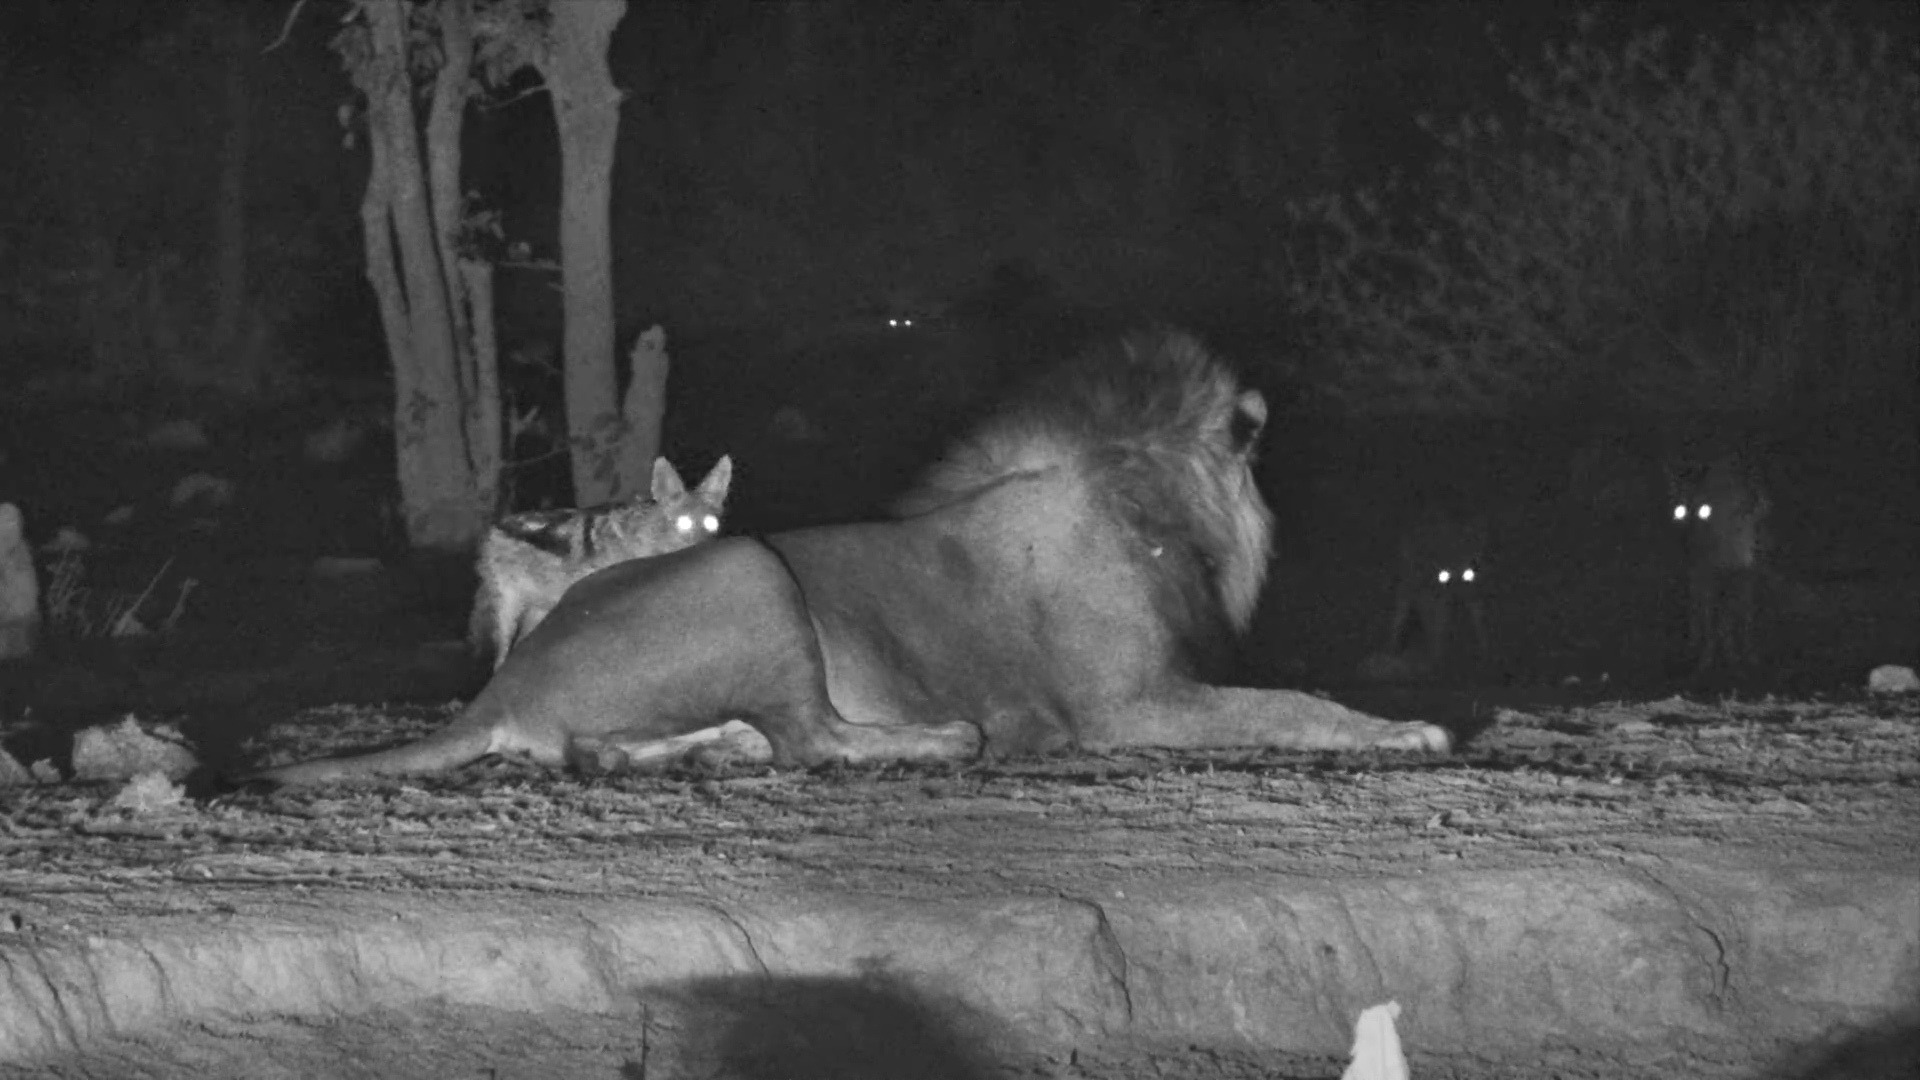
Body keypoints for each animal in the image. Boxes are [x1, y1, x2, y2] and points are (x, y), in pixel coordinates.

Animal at [252, 328, 1448, 786]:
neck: (1136, 496)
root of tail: (505, 684)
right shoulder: (1129, 702)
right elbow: (1292, 705)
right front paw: (1411, 729)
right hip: (753, 572)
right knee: (810, 740)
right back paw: (948, 738)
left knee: (668, 747)